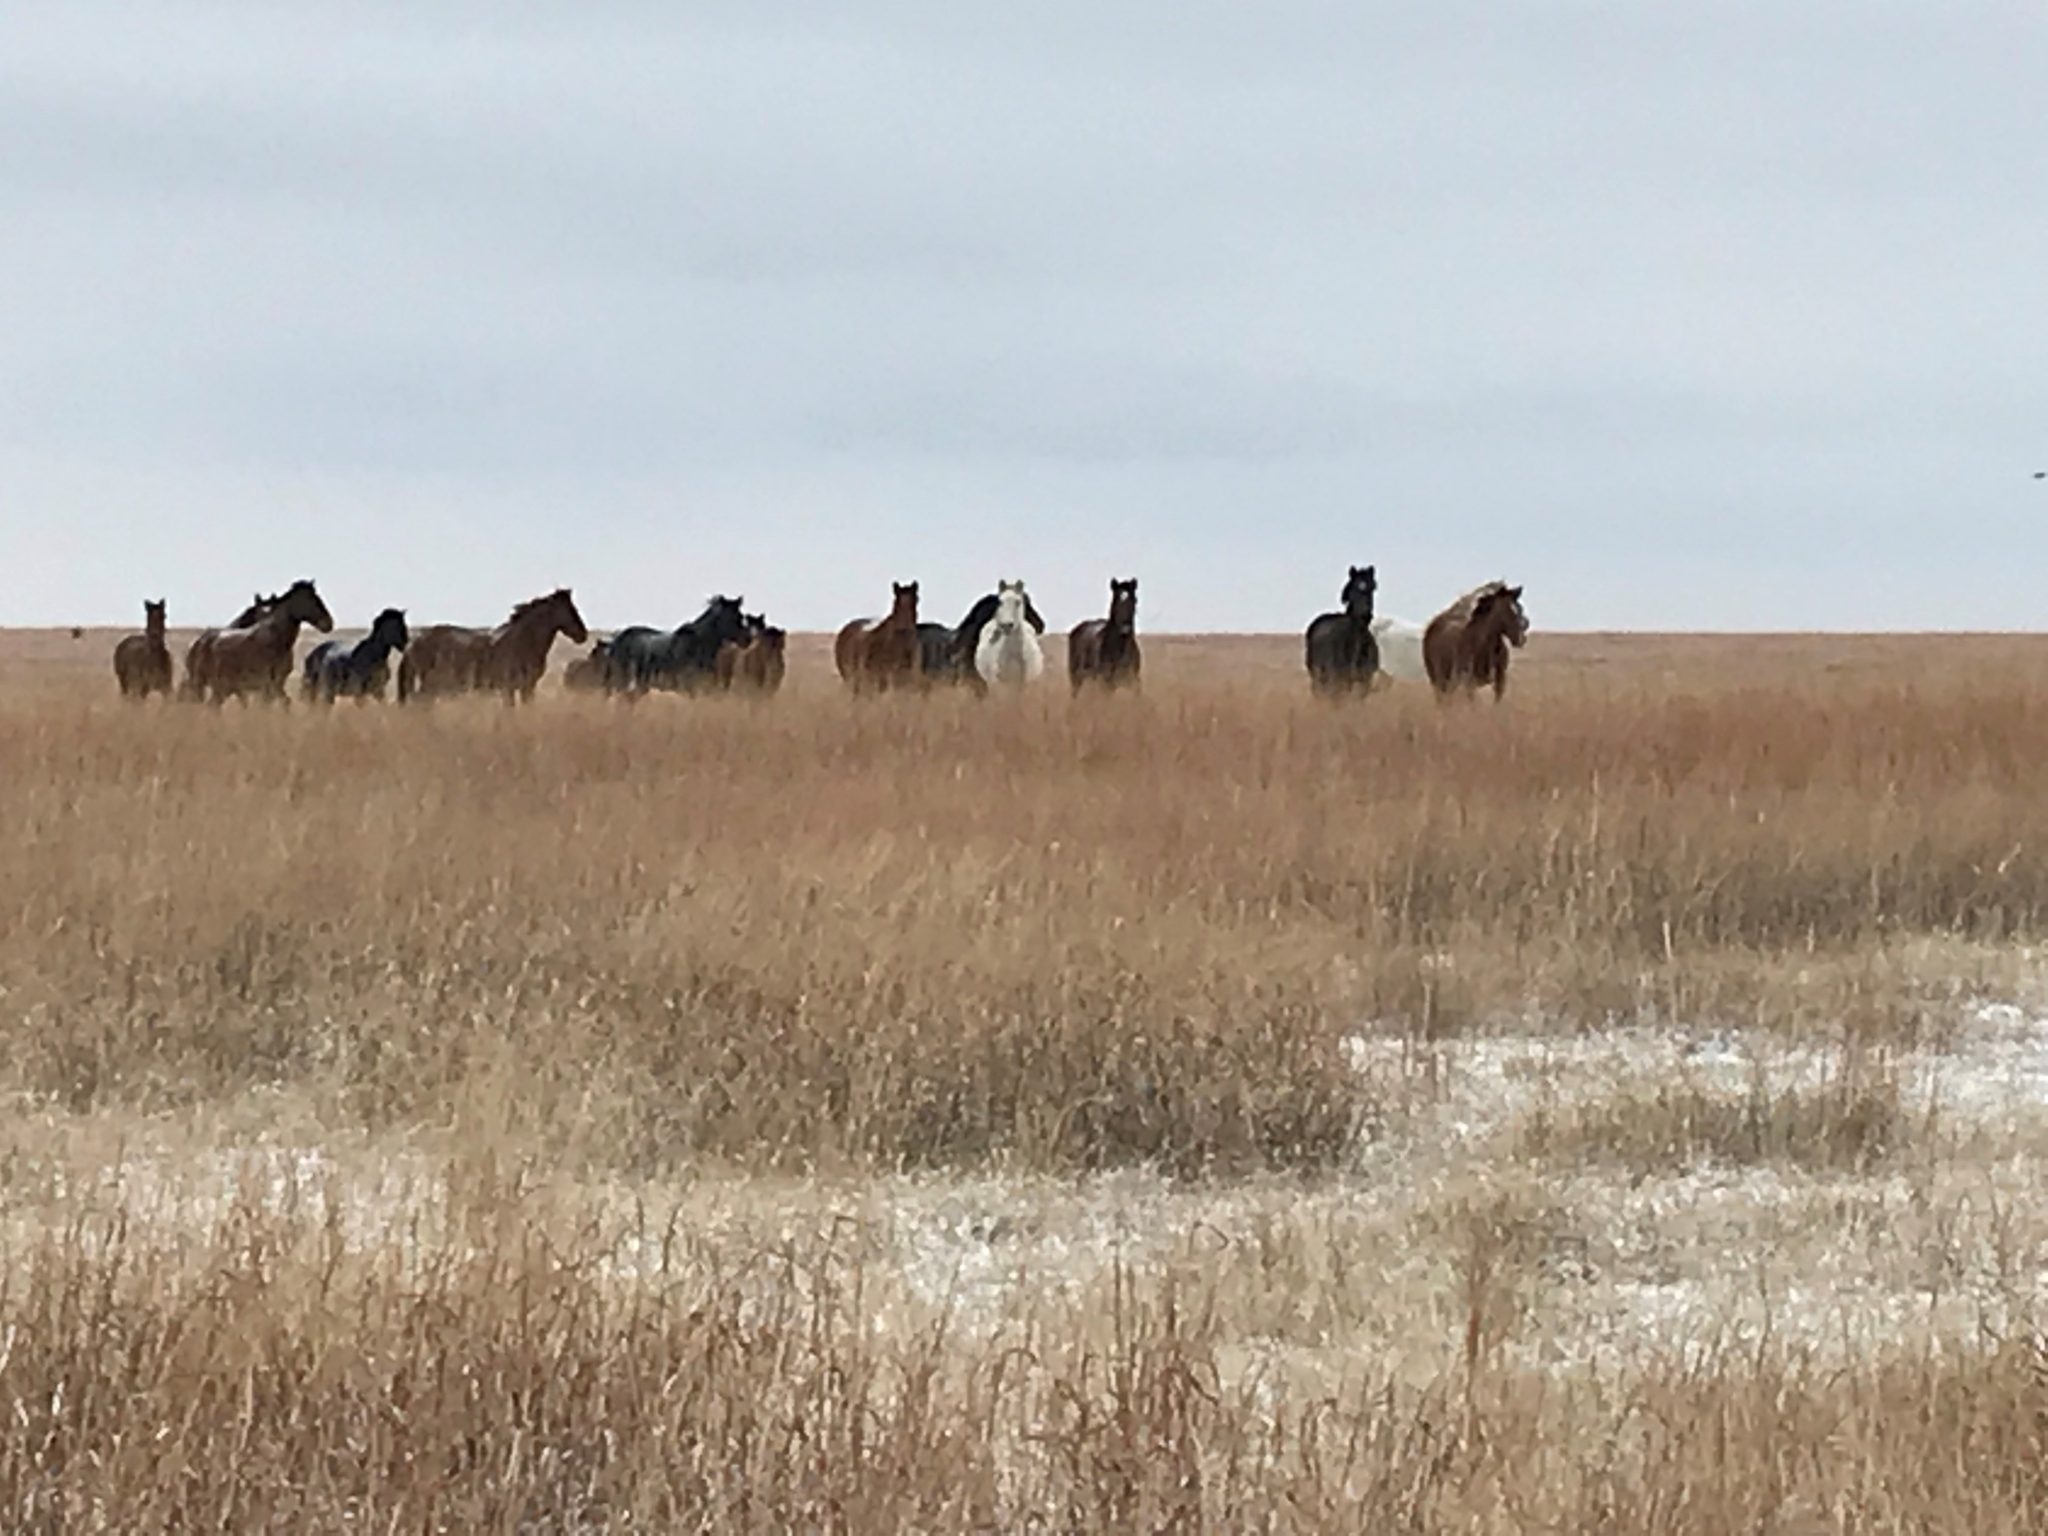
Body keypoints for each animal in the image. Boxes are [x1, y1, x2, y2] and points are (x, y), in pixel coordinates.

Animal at [182, 581, 333, 708]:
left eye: (317, 597)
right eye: (310, 599)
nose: (328, 623)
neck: (276, 641)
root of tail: (199, 642)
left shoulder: (277, 685)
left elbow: (285, 702)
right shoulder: (265, 686)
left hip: (221, 687)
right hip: (205, 683)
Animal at [397, 593, 593, 708]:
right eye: (570, 610)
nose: (582, 635)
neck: (524, 641)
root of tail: (414, 641)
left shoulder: (527, 687)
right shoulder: (510, 688)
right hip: (429, 684)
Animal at [1302, 565, 1384, 696]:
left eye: (1373, 587)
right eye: (1354, 587)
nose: (1365, 614)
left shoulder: (1365, 682)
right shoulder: (1338, 680)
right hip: (1319, 676)